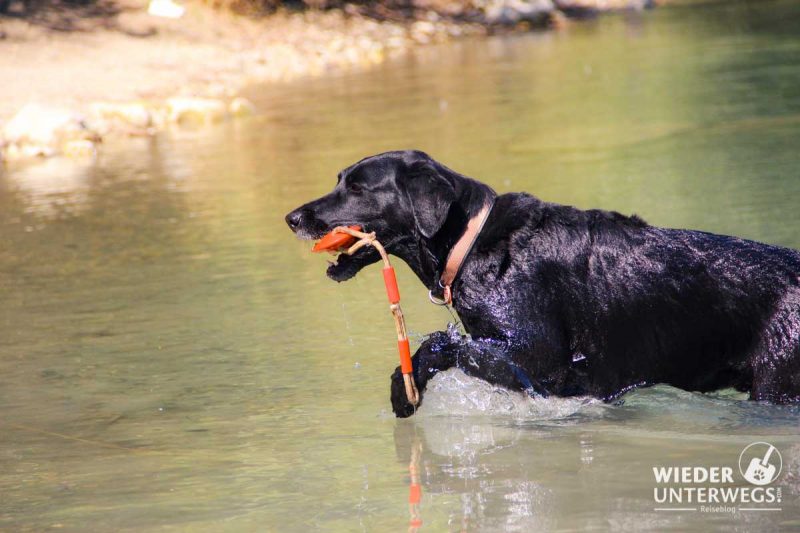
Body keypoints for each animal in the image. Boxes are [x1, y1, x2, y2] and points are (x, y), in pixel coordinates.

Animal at [288, 150, 800, 416]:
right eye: (339, 180)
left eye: (357, 188)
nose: (292, 217)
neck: (471, 242)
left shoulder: (542, 358)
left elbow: (442, 344)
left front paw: (403, 388)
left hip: (779, 381)